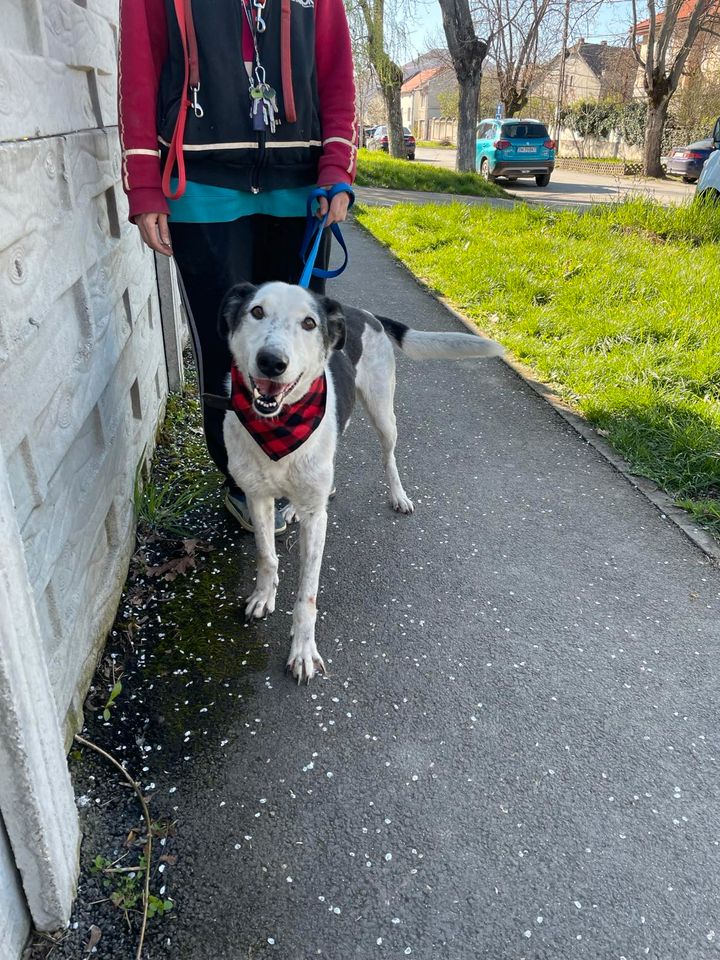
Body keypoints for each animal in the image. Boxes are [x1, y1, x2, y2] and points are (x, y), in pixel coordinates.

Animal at [219, 282, 500, 688]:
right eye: (256, 312)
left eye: (309, 323)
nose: (272, 361)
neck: (278, 427)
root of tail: (364, 313)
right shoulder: (257, 497)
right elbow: (266, 555)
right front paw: (262, 596)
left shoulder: (316, 520)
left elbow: (307, 596)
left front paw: (303, 651)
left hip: (384, 412)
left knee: (389, 456)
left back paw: (398, 495)